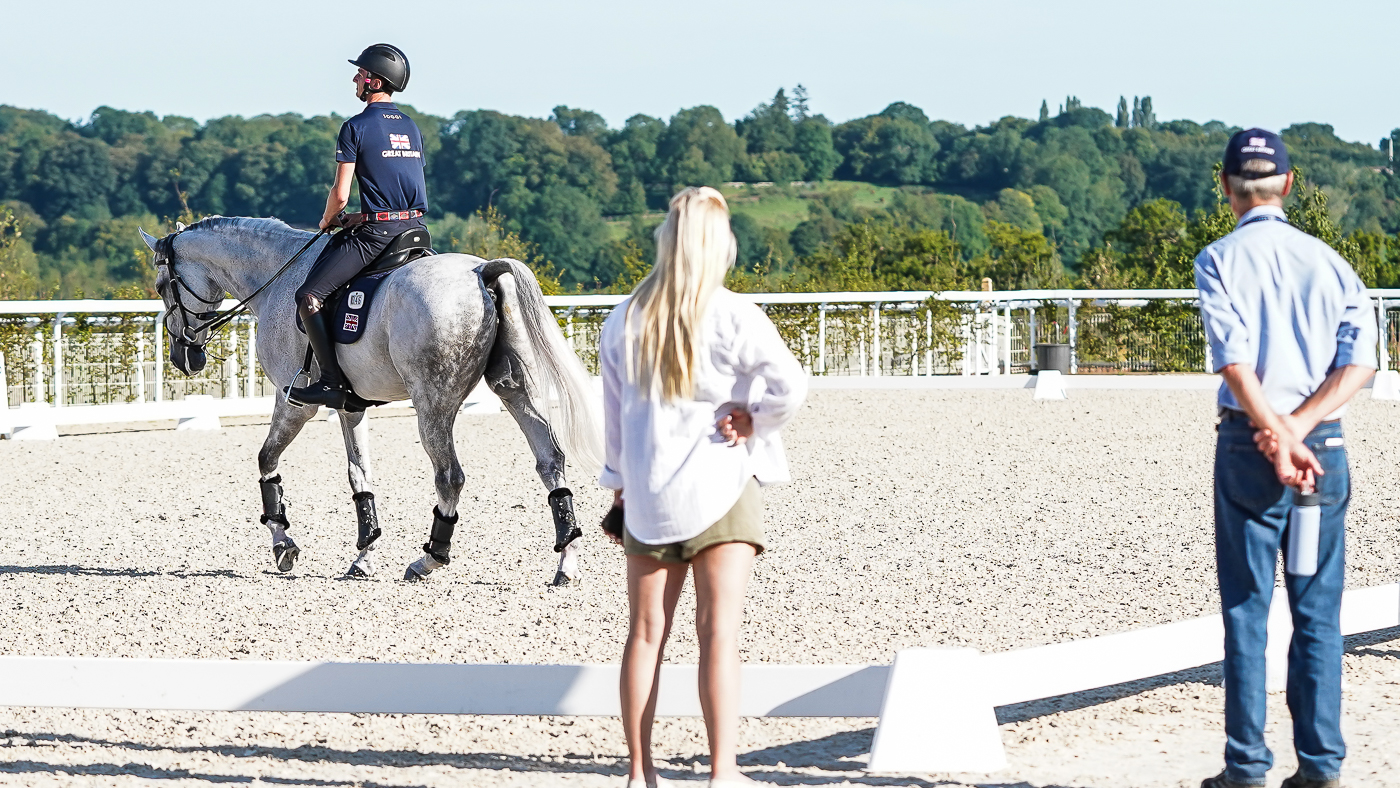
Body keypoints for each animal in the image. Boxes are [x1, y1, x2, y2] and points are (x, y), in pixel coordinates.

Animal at [142, 216, 602, 585]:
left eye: (163, 286)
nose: (184, 357)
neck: (277, 276)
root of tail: (481, 270)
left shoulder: (295, 402)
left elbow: (266, 461)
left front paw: (283, 544)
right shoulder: (351, 405)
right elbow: (359, 476)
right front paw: (363, 555)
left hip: (432, 404)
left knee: (449, 477)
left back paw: (427, 560)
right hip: (515, 388)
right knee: (550, 460)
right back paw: (567, 563)